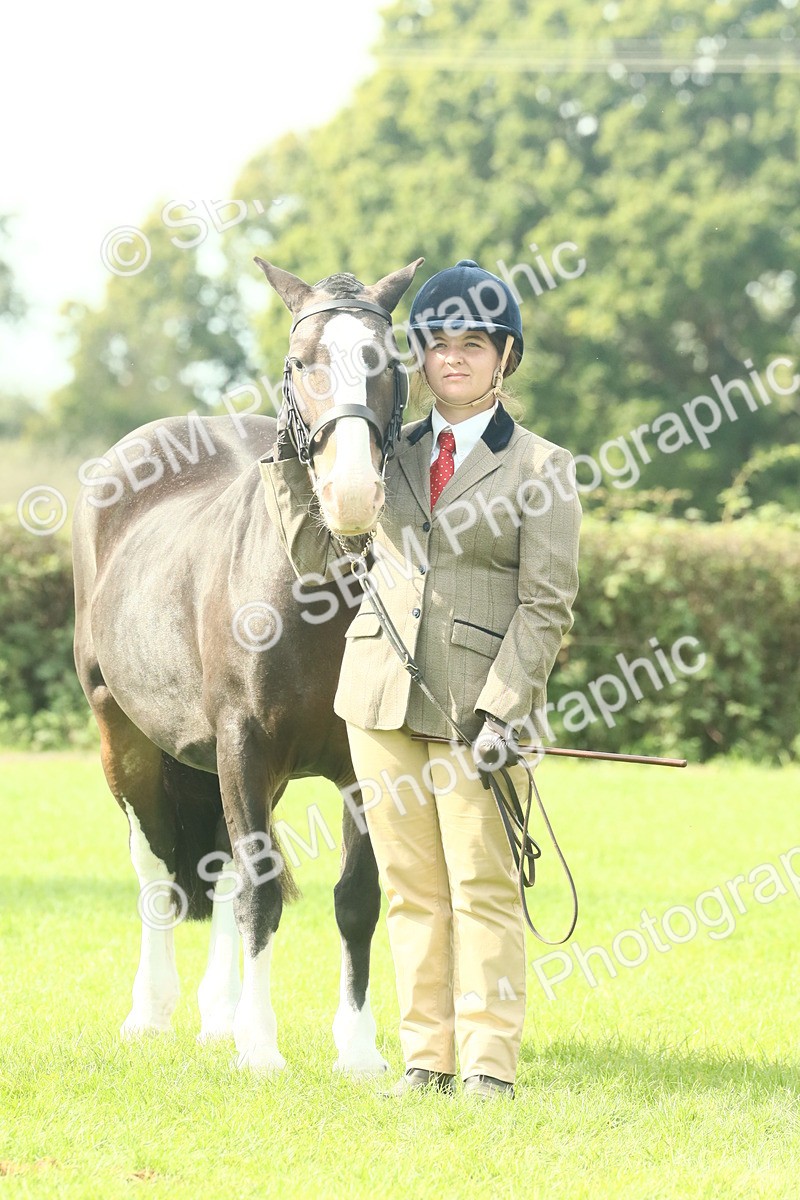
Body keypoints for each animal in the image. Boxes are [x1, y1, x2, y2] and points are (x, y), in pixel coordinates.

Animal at [72, 256, 425, 1073]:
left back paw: (216, 1016)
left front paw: (358, 1050)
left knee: (217, 865)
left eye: (391, 364)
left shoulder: (353, 764)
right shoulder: (244, 743)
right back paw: (152, 1013)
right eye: (300, 363)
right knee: (156, 868)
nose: (351, 493)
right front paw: (260, 1049)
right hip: (123, 735)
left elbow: (356, 895)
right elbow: (260, 890)